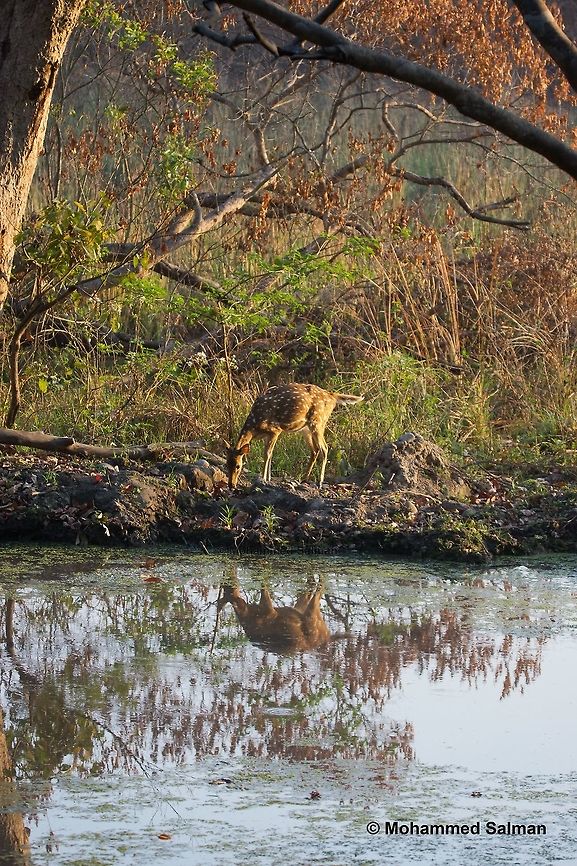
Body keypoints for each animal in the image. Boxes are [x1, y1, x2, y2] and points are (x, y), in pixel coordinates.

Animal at [226, 383, 363, 489]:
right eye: (227, 464)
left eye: (238, 466)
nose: (231, 485)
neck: (254, 427)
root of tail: (332, 396)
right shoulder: (268, 435)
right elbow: (271, 454)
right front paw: (269, 478)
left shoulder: (275, 430)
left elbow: (267, 454)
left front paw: (264, 479)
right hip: (305, 429)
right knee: (315, 450)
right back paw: (305, 478)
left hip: (318, 421)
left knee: (324, 448)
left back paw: (319, 482)